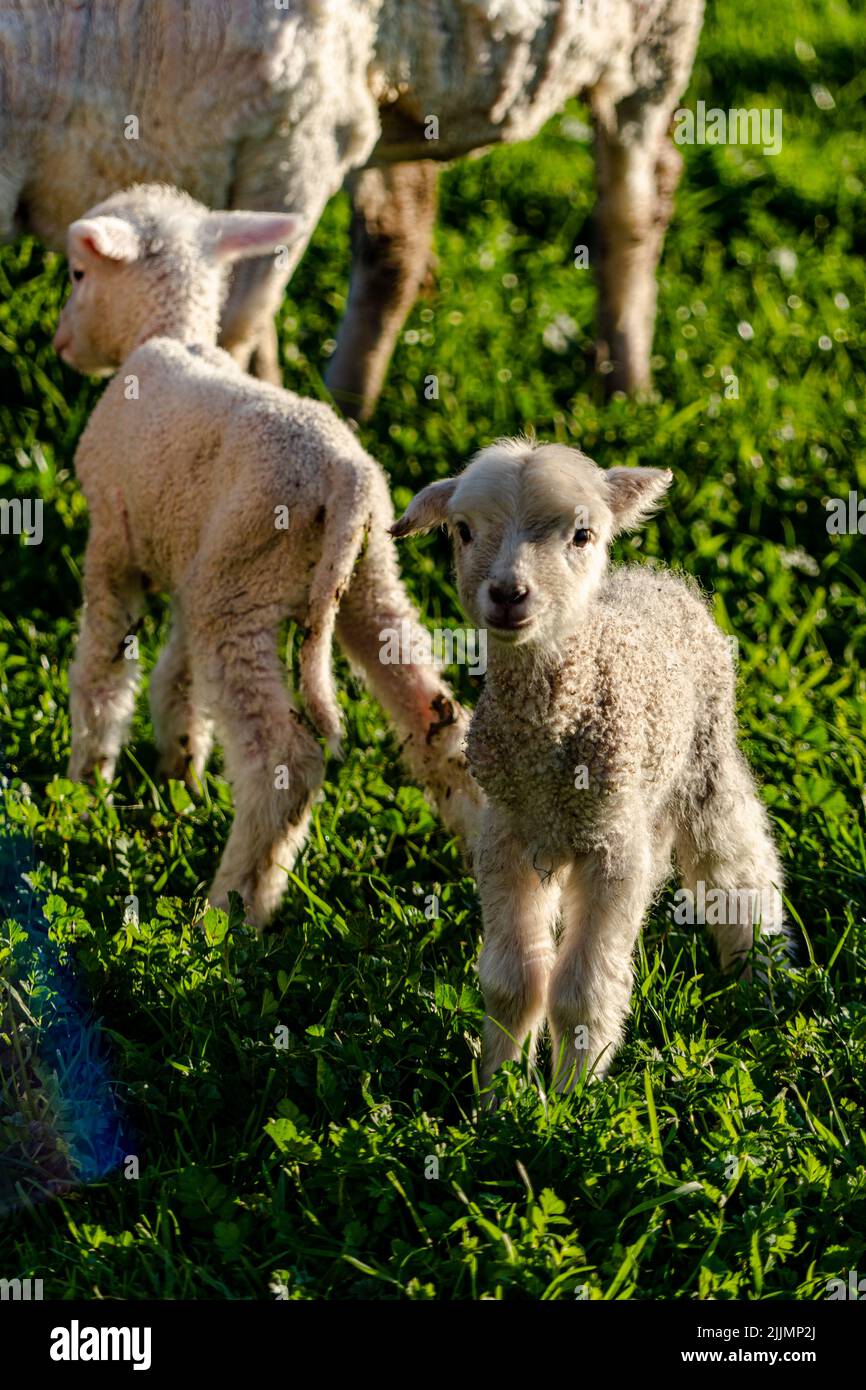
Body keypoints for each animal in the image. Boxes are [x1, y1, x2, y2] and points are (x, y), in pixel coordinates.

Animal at [2, 0, 704, 413]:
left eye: (79, 275)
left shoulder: (299, 142)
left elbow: (235, 330)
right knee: (399, 238)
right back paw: (349, 404)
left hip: (654, 39)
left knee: (635, 200)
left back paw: (626, 387)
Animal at [55, 182, 483, 928]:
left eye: (80, 274)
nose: (59, 343)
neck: (169, 332)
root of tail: (346, 479)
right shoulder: (194, 562)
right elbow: (176, 680)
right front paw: (180, 772)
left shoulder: (114, 541)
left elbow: (104, 673)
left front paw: (89, 786)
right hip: (363, 581)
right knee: (435, 717)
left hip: (242, 591)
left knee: (285, 761)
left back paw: (233, 911)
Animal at [392, 439, 788, 1092]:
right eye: (464, 530)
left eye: (581, 535)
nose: (509, 594)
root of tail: (657, 577)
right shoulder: (507, 836)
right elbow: (512, 983)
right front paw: (498, 1094)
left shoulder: (611, 850)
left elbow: (580, 992)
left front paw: (574, 1098)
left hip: (703, 760)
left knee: (739, 867)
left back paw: (761, 977)